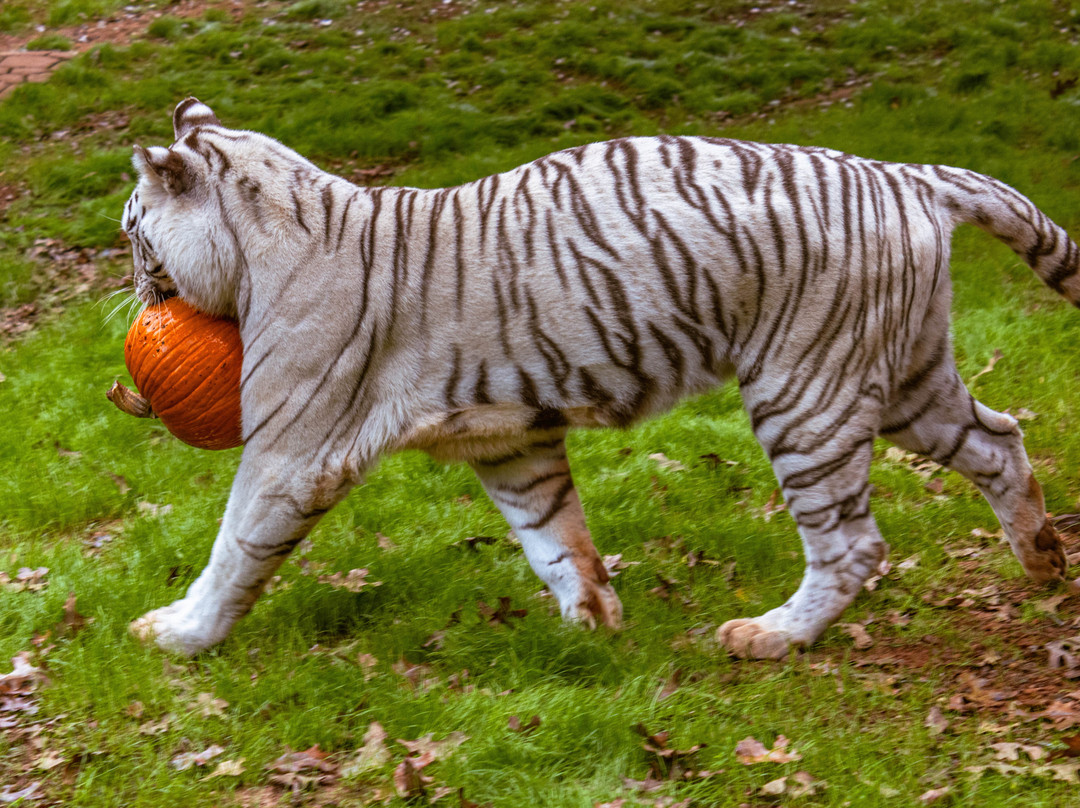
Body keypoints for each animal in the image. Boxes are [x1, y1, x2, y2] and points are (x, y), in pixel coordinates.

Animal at [123, 97, 1078, 660]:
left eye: (133, 227)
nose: (130, 284)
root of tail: (903, 172)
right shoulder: (510, 442)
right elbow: (553, 536)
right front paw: (593, 628)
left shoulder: (292, 448)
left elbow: (234, 545)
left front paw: (178, 633)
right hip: (906, 377)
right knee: (999, 441)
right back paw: (1041, 560)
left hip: (806, 394)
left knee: (852, 545)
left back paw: (767, 636)